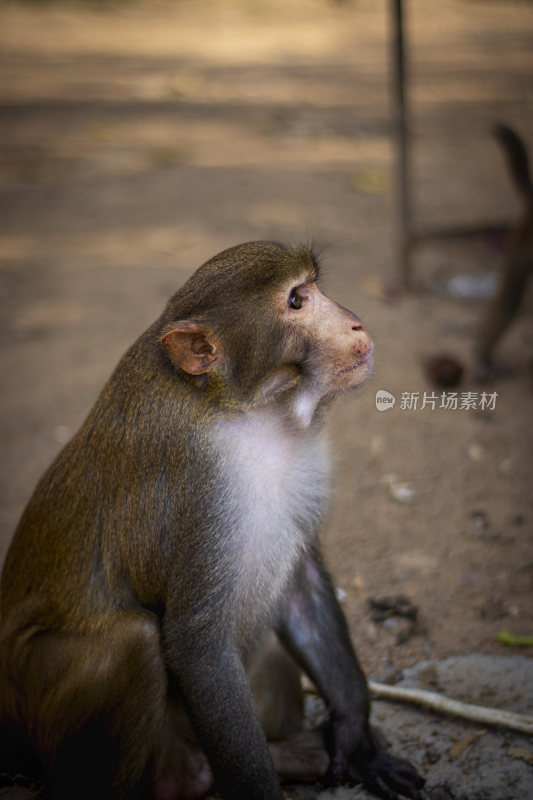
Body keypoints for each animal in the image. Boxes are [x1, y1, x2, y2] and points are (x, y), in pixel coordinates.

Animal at [0, 242, 424, 800]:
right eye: (295, 301)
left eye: (313, 288)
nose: (354, 323)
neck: (249, 410)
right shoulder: (200, 484)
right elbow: (197, 643)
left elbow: (303, 587)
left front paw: (355, 735)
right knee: (133, 643)